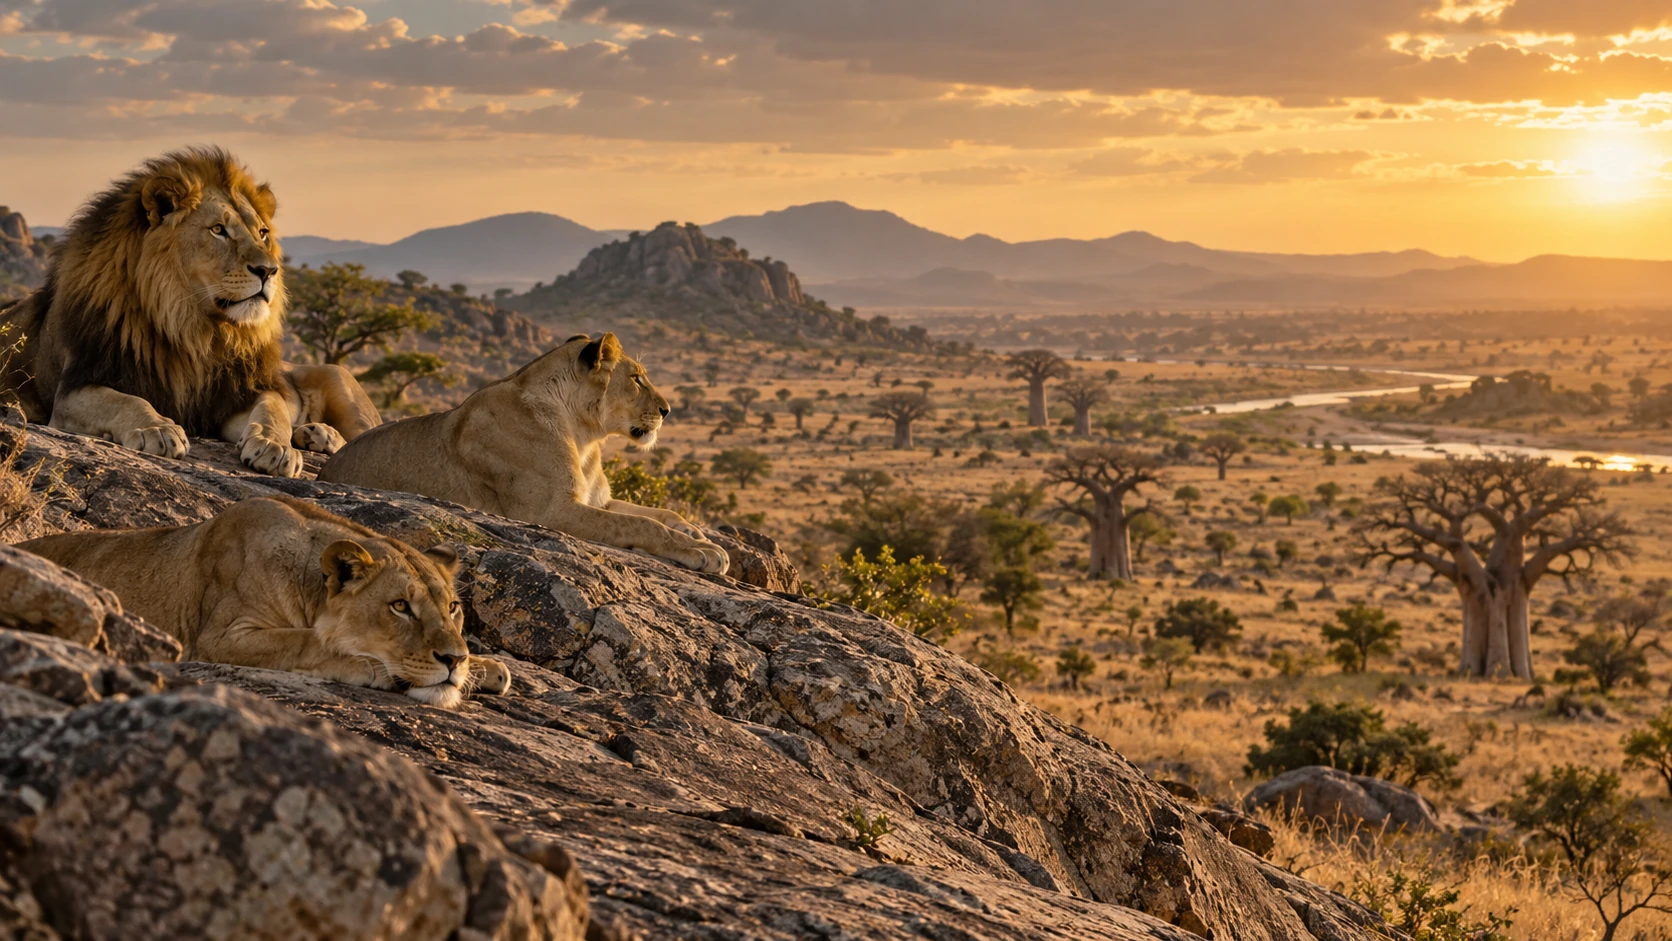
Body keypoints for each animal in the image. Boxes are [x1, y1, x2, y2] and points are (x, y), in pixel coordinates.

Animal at [0, 147, 380, 477]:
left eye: (262, 233)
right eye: (218, 230)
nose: (269, 270)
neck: (194, 327)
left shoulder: (238, 394)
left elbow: (272, 410)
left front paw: (276, 447)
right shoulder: (74, 389)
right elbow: (124, 401)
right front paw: (158, 429)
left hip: (338, 378)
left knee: (367, 436)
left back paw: (318, 434)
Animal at [20, 495, 510, 708]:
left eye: (453, 608)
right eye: (400, 607)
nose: (453, 659)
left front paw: (487, 669)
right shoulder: (218, 638)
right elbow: (305, 642)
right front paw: (372, 667)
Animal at [319, 333, 729, 575]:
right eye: (637, 378)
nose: (667, 410)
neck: (584, 435)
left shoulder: (596, 499)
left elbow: (657, 513)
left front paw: (695, 532)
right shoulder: (551, 511)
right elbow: (643, 524)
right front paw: (705, 551)